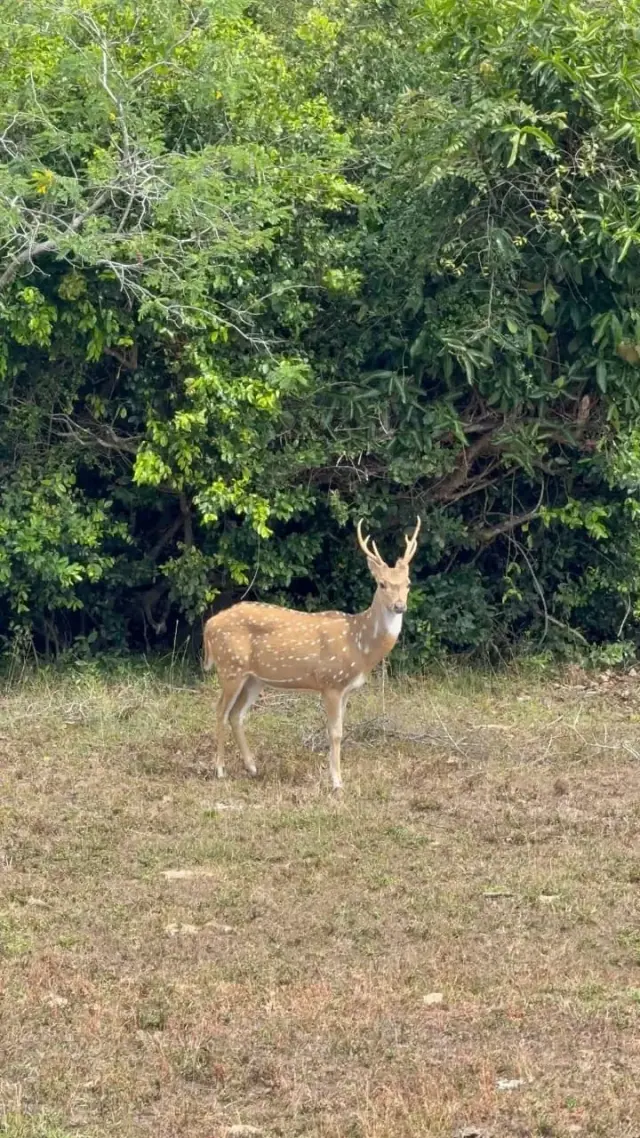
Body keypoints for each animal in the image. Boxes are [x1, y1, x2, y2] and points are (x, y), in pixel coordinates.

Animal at [202, 516, 421, 790]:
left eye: (408, 583)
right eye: (382, 584)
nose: (399, 606)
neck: (359, 646)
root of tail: (209, 625)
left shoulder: (346, 688)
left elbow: (340, 730)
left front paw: (336, 775)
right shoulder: (331, 682)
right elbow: (335, 733)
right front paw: (337, 782)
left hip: (253, 678)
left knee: (236, 714)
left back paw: (252, 767)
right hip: (230, 667)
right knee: (220, 710)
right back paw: (220, 769)